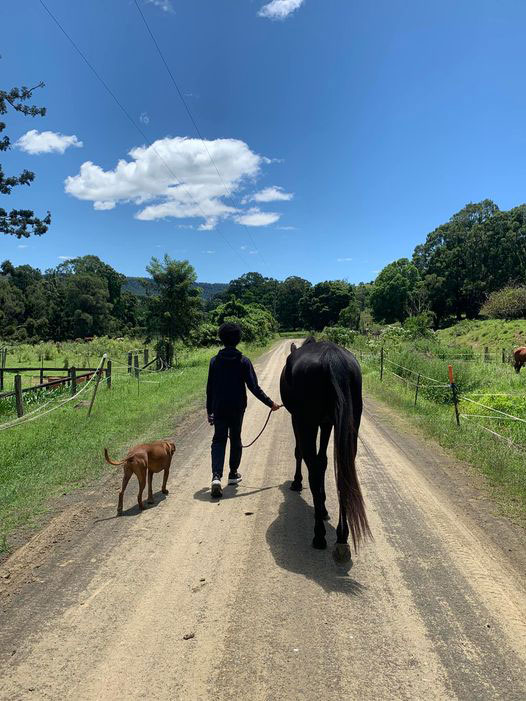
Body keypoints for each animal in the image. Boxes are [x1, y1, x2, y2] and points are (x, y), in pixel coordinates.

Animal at [280, 337, 370, 563]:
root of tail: (332, 358)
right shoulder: (328, 423)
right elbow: (324, 461)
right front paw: (324, 507)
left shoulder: (297, 419)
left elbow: (301, 454)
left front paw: (297, 483)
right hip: (349, 423)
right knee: (342, 470)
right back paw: (341, 536)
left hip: (307, 423)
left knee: (312, 466)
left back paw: (319, 534)